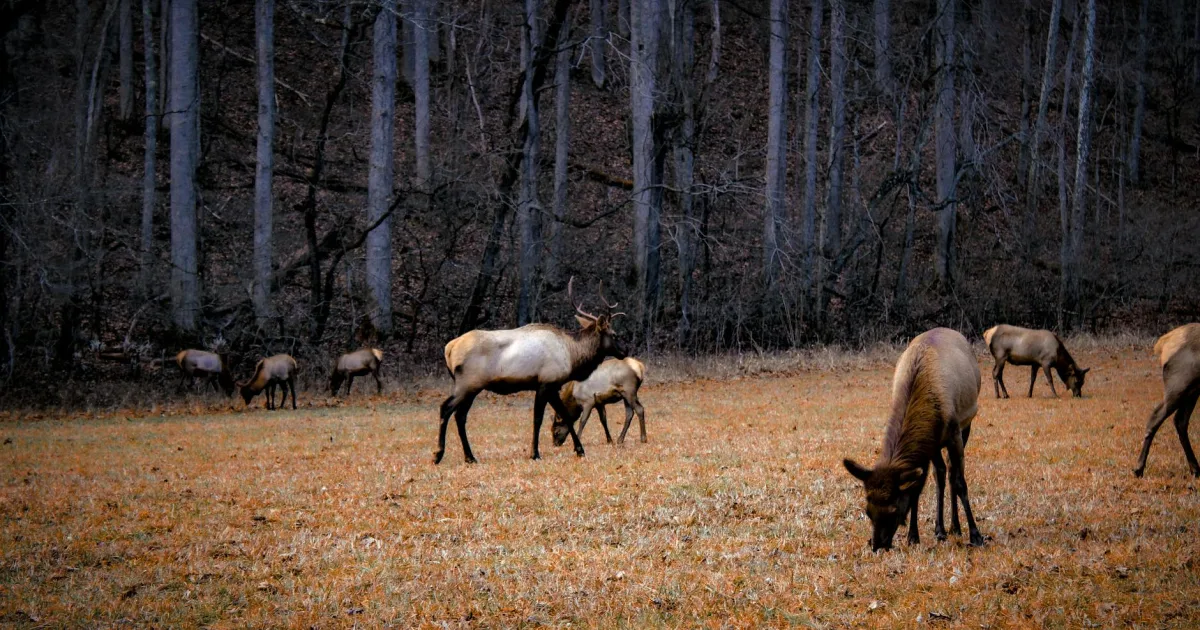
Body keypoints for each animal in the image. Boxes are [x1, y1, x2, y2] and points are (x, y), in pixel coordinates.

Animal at [435, 278, 626, 464]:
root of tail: (449, 348)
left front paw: (579, 450)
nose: (624, 352)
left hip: (472, 388)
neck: (572, 355)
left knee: (460, 415)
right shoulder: (546, 383)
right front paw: (535, 453)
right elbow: (538, 418)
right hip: (468, 384)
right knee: (446, 408)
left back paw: (470, 457)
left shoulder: (552, 387)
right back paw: (438, 454)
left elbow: (563, 414)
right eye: (614, 334)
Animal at [843, 327, 985, 551]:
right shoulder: (928, 442)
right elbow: (917, 486)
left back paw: (955, 526)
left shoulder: (954, 432)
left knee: (951, 471)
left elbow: (960, 482)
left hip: (966, 423)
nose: (877, 545)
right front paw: (913, 536)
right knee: (940, 472)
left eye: (893, 509)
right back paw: (941, 529)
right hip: (935, 443)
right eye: (868, 510)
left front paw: (976, 534)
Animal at [1134, 323, 1200, 478]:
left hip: (1192, 390)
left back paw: (1195, 469)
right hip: (1179, 384)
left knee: (1180, 420)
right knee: (1156, 416)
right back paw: (1139, 468)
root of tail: (1163, 343)